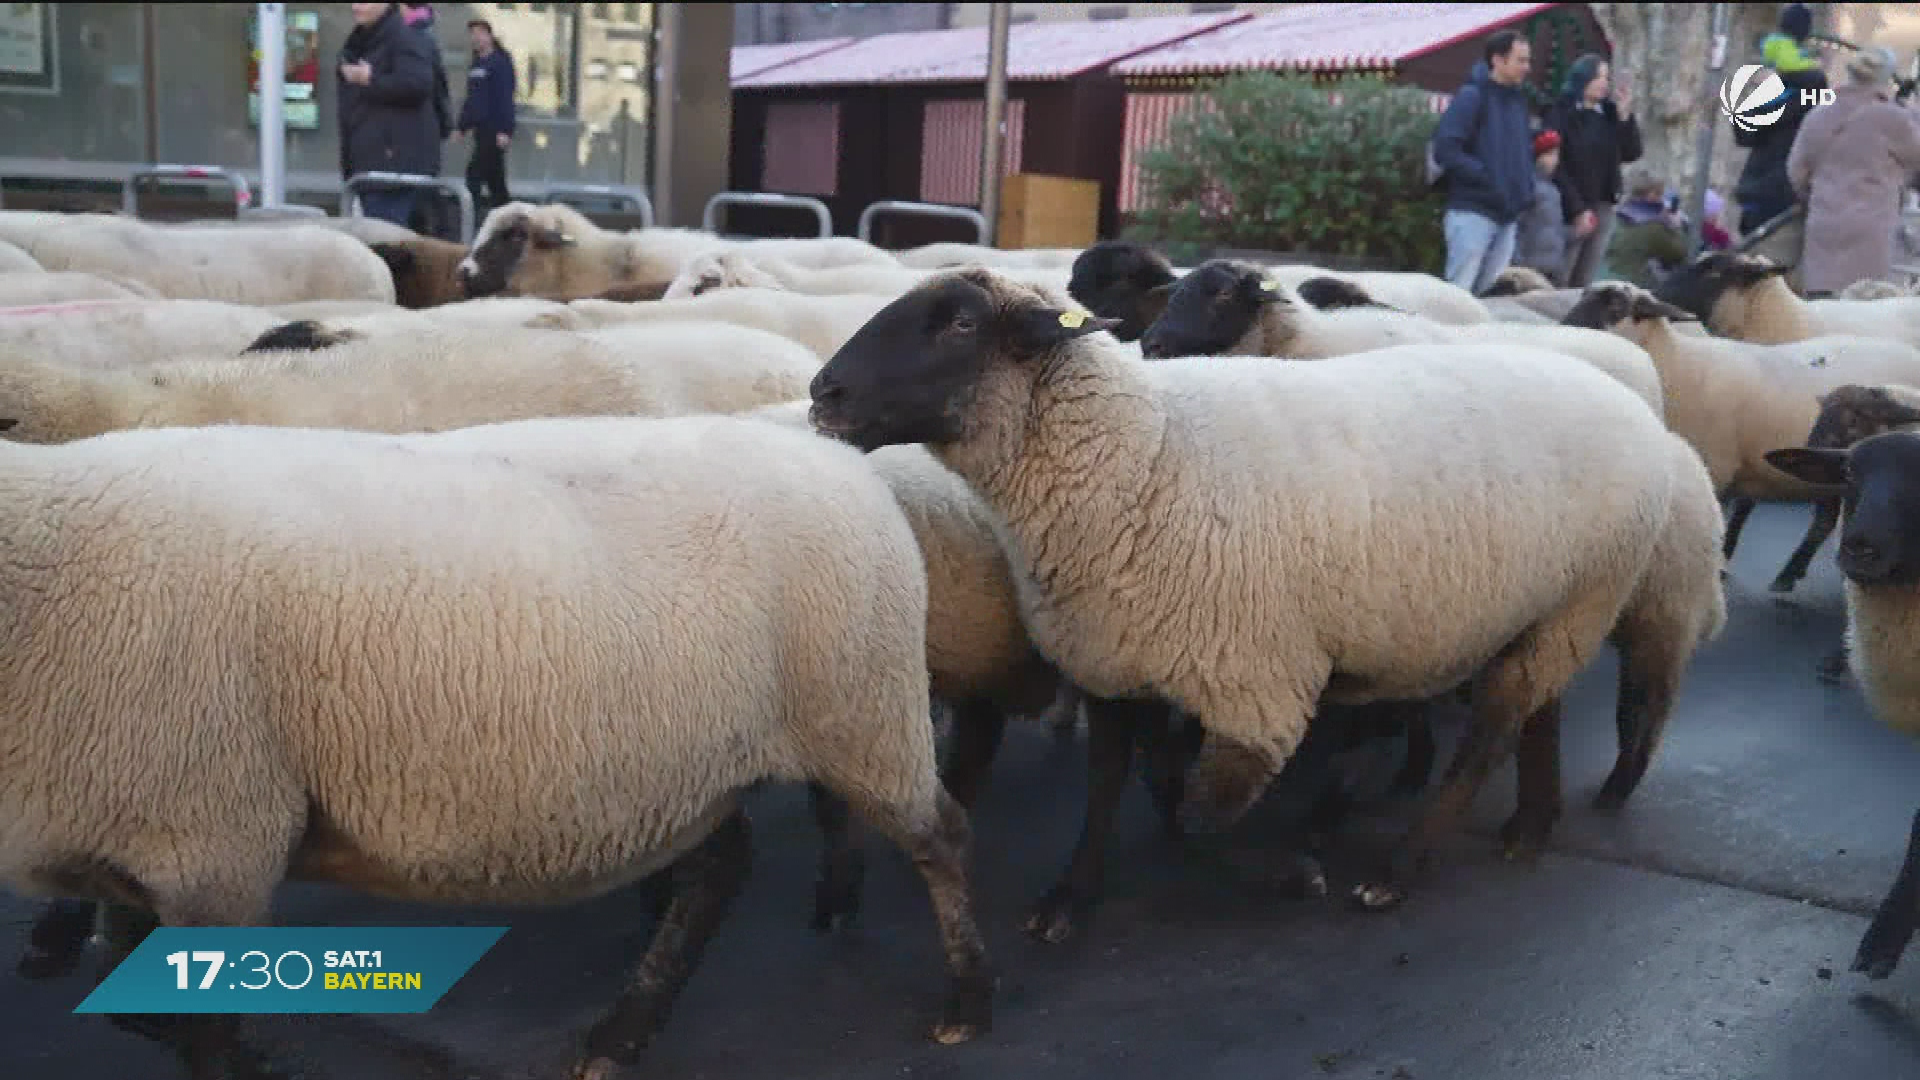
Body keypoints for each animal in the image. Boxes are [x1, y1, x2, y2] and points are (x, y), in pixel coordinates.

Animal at [0, 415, 994, 1074]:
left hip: (862, 711)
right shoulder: (141, 847)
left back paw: (968, 1000)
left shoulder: (215, 842)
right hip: (708, 757)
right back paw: (624, 1032)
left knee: (943, 836)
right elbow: (131, 1000)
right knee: (721, 869)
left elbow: (202, 1035)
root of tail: (841, 461)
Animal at [809, 268, 1698, 933]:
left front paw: (1288, 866)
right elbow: (1110, 785)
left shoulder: (1259, 690)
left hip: (1579, 599)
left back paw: (1400, 869)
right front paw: (1072, 896)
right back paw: (1528, 828)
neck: (1140, 459)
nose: (824, 390)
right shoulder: (1111, 661)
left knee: (1487, 736)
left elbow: (1200, 809)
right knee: (1537, 714)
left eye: (958, 323)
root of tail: (1635, 406)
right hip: (1558, 606)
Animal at [1562, 282, 1920, 592]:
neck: (1677, 362)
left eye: (1616, 306)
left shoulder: (1715, 467)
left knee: (1822, 523)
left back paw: (1788, 575)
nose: (1566, 326)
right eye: (1583, 295)